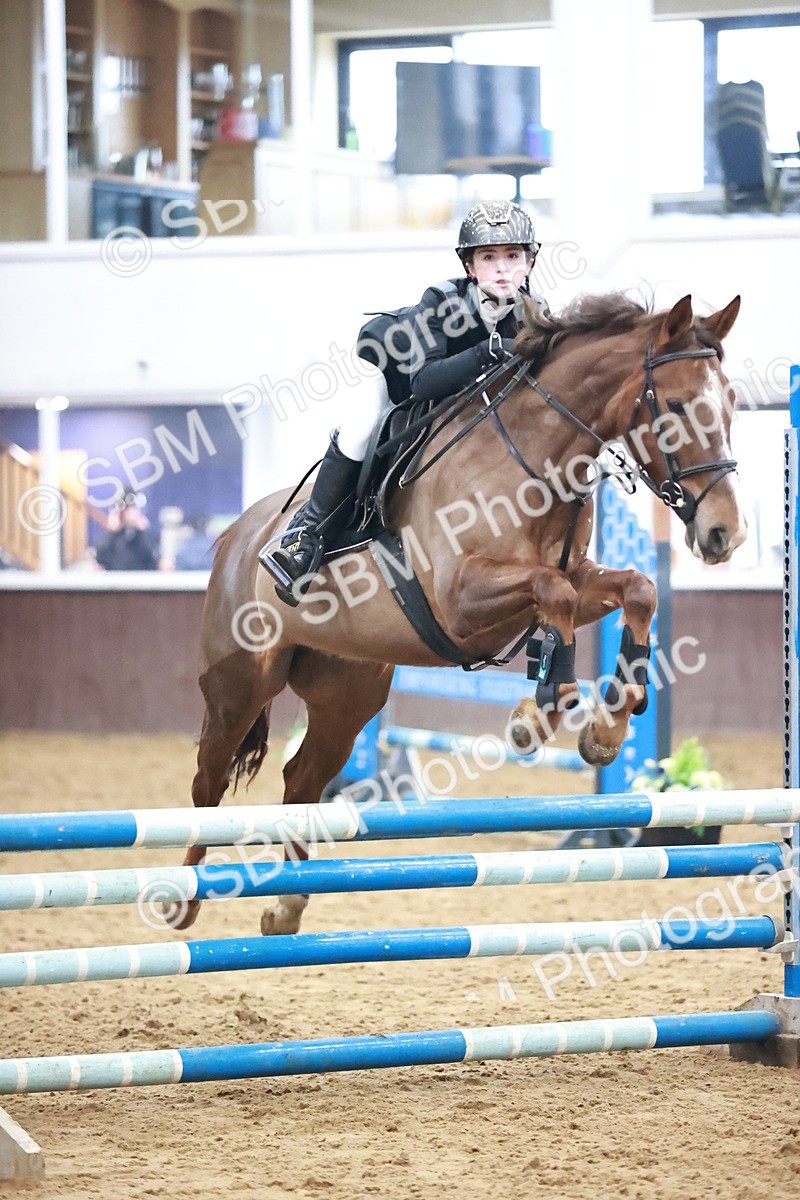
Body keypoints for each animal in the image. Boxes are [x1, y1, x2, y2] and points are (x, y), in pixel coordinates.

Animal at [167, 290, 745, 936]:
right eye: (677, 404)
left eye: (731, 404)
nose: (725, 533)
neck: (536, 459)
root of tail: (239, 534)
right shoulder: (460, 600)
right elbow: (555, 595)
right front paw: (543, 711)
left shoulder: (570, 579)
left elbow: (633, 590)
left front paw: (603, 725)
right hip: (239, 684)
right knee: (208, 783)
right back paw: (181, 900)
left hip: (348, 692)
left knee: (303, 779)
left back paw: (286, 906)